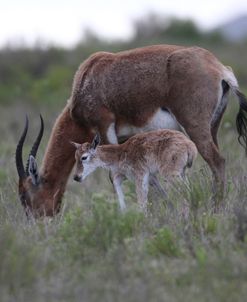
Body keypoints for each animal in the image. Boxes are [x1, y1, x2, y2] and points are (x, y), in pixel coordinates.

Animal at [15, 44, 247, 217]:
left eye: (25, 195)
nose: (38, 224)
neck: (88, 76)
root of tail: (219, 68)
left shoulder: (105, 130)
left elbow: (115, 175)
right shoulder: (131, 140)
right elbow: (148, 177)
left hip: (195, 127)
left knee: (217, 161)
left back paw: (216, 210)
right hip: (212, 128)